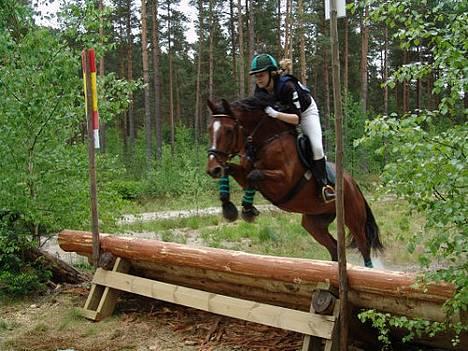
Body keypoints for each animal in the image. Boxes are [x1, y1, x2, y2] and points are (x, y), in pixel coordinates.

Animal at [207, 97, 382, 268]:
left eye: (229, 130)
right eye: (209, 129)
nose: (212, 169)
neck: (265, 142)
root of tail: (352, 182)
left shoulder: (283, 182)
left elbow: (254, 175)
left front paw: (248, 211)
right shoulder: (245, 176)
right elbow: (230, 169)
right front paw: (228, 208)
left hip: (353, 218)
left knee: (363, 246)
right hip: (314, 222)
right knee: (333, 247)